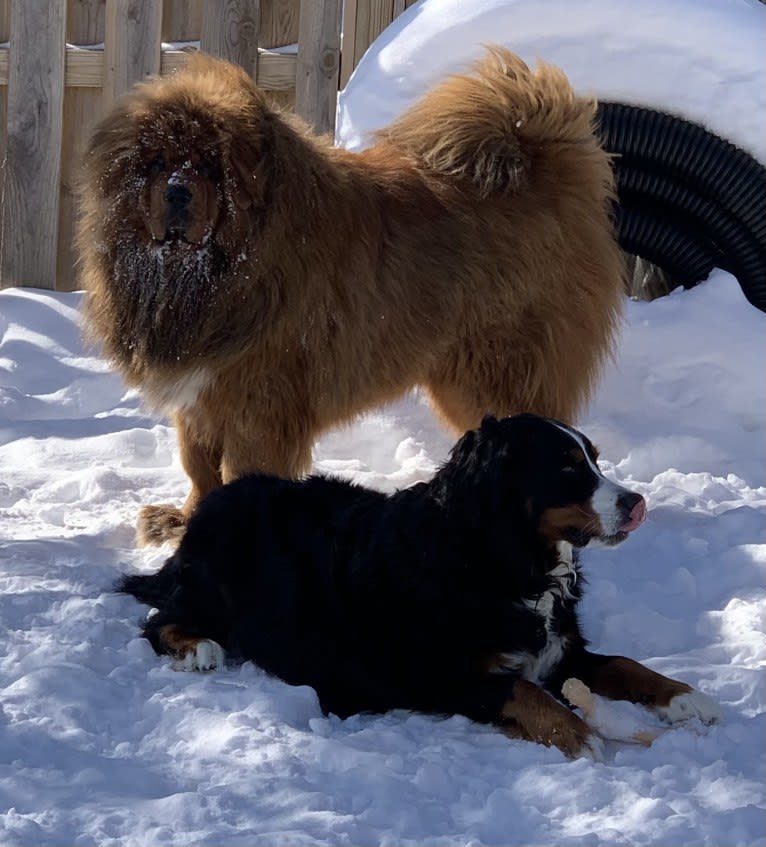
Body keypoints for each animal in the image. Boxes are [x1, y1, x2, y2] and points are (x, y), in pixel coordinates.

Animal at [78, 49, 628, 548]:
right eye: (157, 163)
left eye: (213, 168)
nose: (176, 191)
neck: (205, 276)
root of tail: (541, 163)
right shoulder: (199, 399)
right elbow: (198, 467)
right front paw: (182, 521)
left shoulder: (258, 405)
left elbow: (238, 474)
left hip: (493, 374)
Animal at [117, 414, 724, 760]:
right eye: (569, 467)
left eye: (594, 458)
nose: (637, 503)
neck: (499, 560)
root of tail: (213, 501)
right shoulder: (434, 673)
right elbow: (522, 691)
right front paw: (581, 735)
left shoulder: (561, 650)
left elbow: (623, 663)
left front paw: (685, 697)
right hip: (214, 590)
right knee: (158, 619)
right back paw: (198, 649)